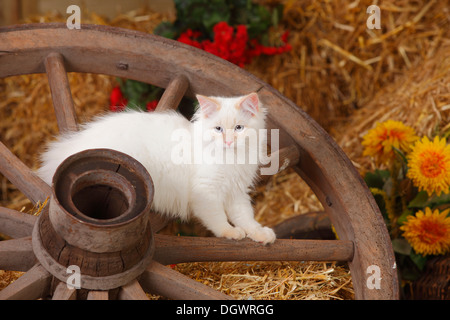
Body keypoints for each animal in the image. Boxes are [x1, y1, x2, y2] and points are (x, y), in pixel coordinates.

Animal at [37, 92, 278, 245]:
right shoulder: (206, 193)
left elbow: (246, 217)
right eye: (218, 129)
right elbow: (218, 218)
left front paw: (260, 234)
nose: (228, 141)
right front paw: (230, 233)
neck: (232, 158)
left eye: (239, 128)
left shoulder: (237, 192)